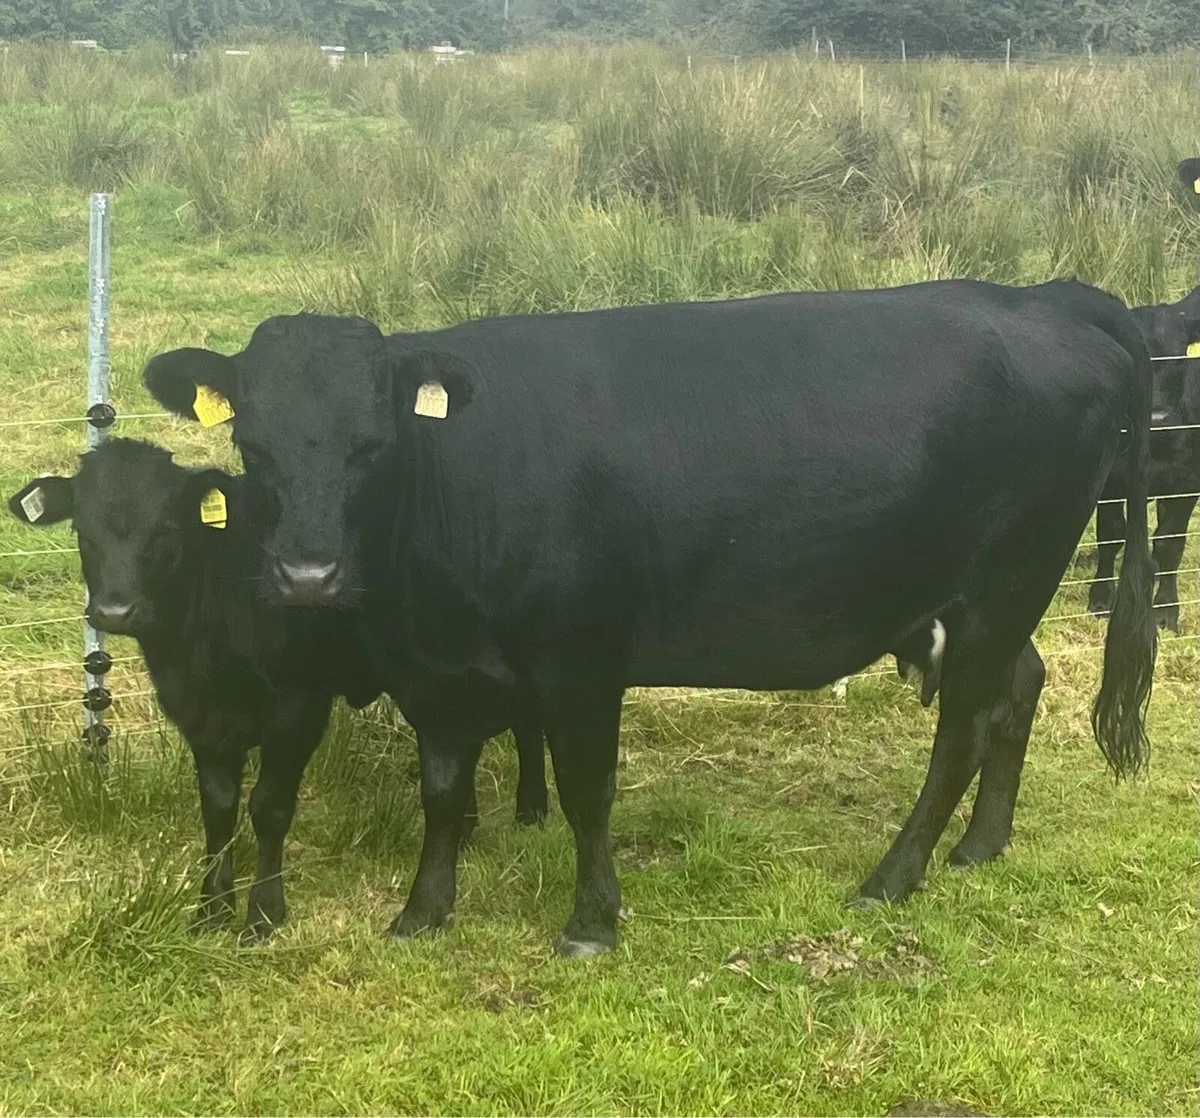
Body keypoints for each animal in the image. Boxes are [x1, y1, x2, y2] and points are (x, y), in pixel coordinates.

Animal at [7, 438, 548, 941]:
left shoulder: (297, 710)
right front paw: (212, 909)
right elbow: (217, 809)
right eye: (83, 532)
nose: (115, 611)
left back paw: (529, 809)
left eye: (164, 530)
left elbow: (268, 808)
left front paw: (264, 913)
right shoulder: (201, 717)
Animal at [143, 276, 1157, 958]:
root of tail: (1043, 297)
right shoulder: (436, 675)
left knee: (962, 731)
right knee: (1018, 691)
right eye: (253, 445)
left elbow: (587, 792)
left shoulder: (581, 662)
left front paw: (592, 921)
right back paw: (981, 848)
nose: (308, 575)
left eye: (373, 444)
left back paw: (891, 877)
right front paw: (423, 912)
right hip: (989, 601)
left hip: (1001, 587)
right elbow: (442, 793)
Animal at [1087, 287, 1200, 632]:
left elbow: (1169, 543)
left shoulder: (1187, 483)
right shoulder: (1111, 481)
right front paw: (1100, 599)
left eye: (1180, 358)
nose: (1158, 418)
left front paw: (1165, 610)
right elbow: (1111, 535)